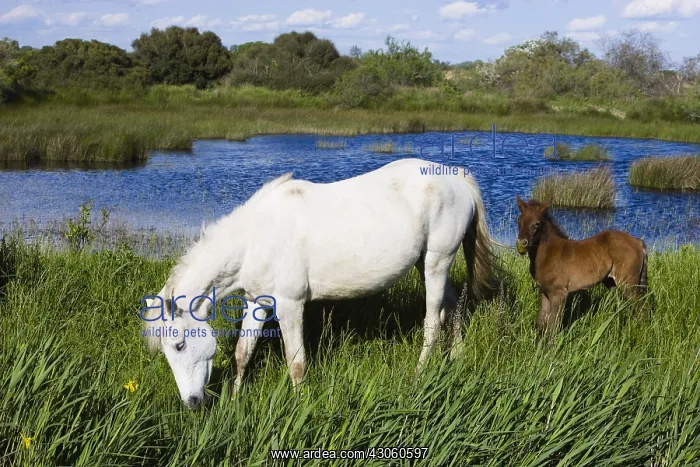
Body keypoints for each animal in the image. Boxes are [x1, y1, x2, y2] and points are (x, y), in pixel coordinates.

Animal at [141, 158, 495, 409]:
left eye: (179, 345)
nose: (192, 403)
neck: (256, 237)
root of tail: (457, 177)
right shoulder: (258, 302)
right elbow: (243, 353)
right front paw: (235, 401)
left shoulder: (290, 305)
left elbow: (296, 362)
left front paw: (300, 407)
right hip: (426, 263)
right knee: (452, 306)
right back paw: (457, 358)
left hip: (438, 260)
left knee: (433, 319)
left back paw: (419, 377)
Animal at [514, 195, 648, 336]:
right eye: (519, 221)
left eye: (537, 223)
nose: (521, 243)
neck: (548, 254)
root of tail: (638, 242)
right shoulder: (544, 291)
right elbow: (541, 322)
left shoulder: (559, 293)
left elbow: (553, 325)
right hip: (611, 282)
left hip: (628, 282)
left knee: (642, 306)